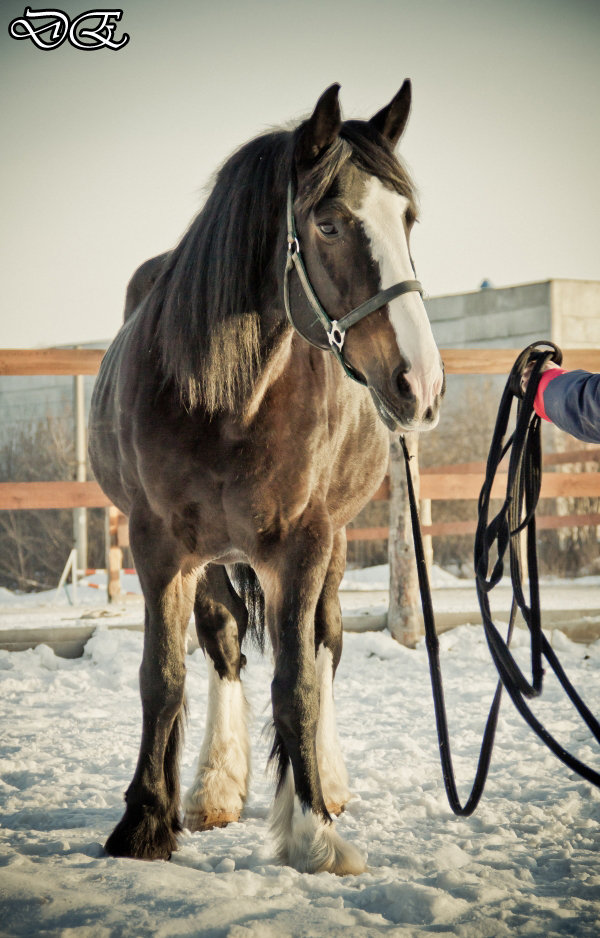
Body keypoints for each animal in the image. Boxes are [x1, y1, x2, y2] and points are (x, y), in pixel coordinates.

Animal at [89, 82, 446, 876]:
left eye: (408, 219)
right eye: (330, 222)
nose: (421, 383)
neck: (228, 397)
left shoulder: (303, 544)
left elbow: (299, 682)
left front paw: (312, 829)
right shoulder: (160, 546)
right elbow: (162, 678)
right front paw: (145, 822)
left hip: (333, 545)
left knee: (325, 643)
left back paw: (327, 781)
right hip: (214, 560)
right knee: (223, 646)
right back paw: (212, 788)